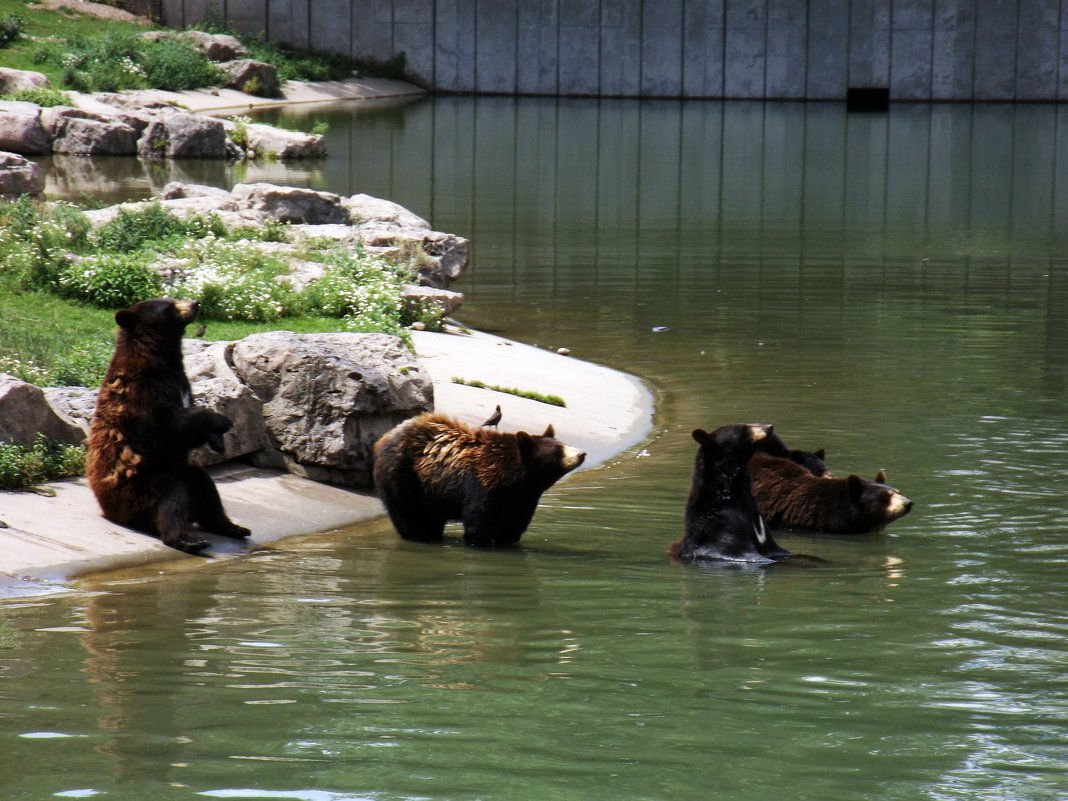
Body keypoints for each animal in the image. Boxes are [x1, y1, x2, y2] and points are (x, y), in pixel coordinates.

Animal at [86, 299, 248, 555]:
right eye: (169, 304)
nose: (196, 303)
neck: (159, 361)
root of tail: (108, 509)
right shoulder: (141, 395)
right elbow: (161, 429)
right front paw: (220, 420)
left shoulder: (181, 383)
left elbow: (183, 437)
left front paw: (216, 439)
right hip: (140, 489)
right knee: (172, 498)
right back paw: (187, 539)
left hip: (181, 471)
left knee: (205, 486)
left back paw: (232, 527)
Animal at [371, 410, 589, 551]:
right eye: (558, 449)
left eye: (564, 443)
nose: (582, 453)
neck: (517, 479)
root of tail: (384, 438)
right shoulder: (483, 484)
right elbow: (480, 524)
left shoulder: (523, 498)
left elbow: (513, 527)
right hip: (403, 477)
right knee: (409, 514)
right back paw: (419, 536)